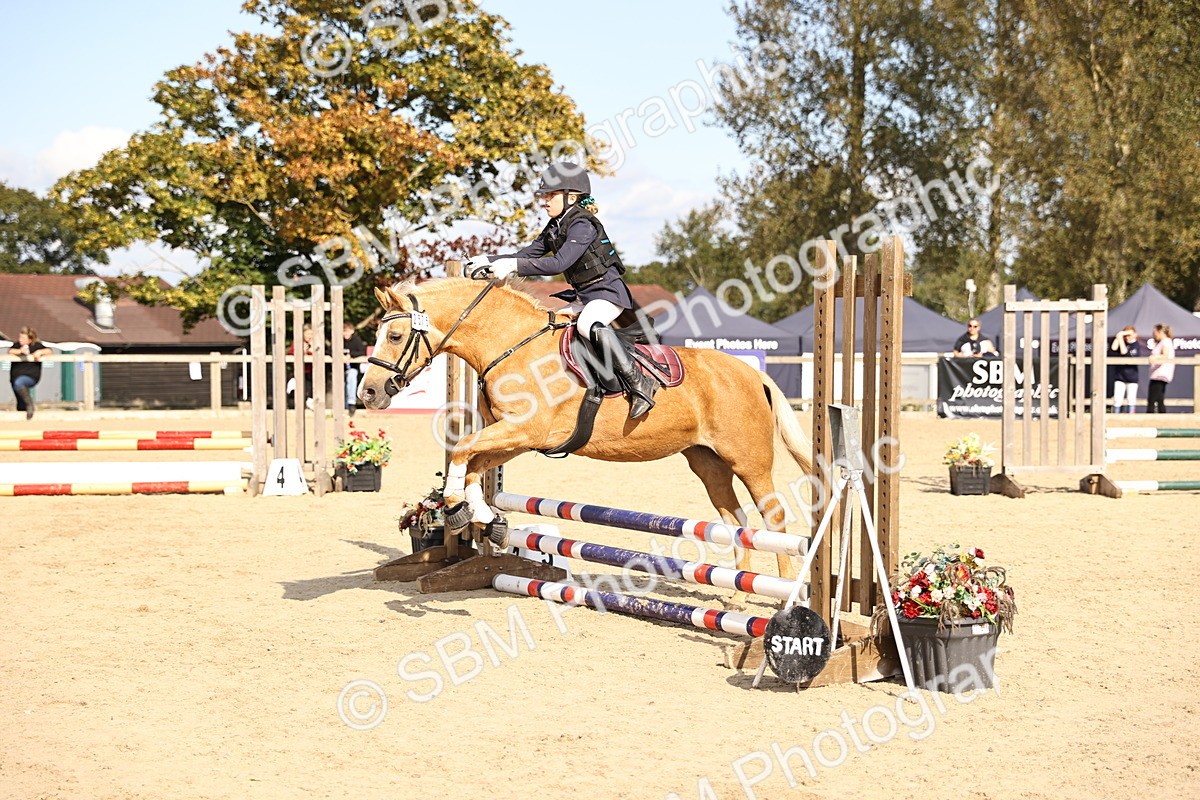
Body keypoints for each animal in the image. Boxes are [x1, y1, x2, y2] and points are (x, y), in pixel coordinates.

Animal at [358, 277, 814, 583]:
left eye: (395, 335)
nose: (368, 393)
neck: (510, 345)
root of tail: (752, 374)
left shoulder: (525, 430)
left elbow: (461, 450)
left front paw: (454, 507)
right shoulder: (517, 437)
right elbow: (472, 464)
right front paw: (486, 520)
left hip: (749, 460)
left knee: (773, 517)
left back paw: (780, 592)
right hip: (708, 463)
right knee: (734, 517)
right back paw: (740, 589)